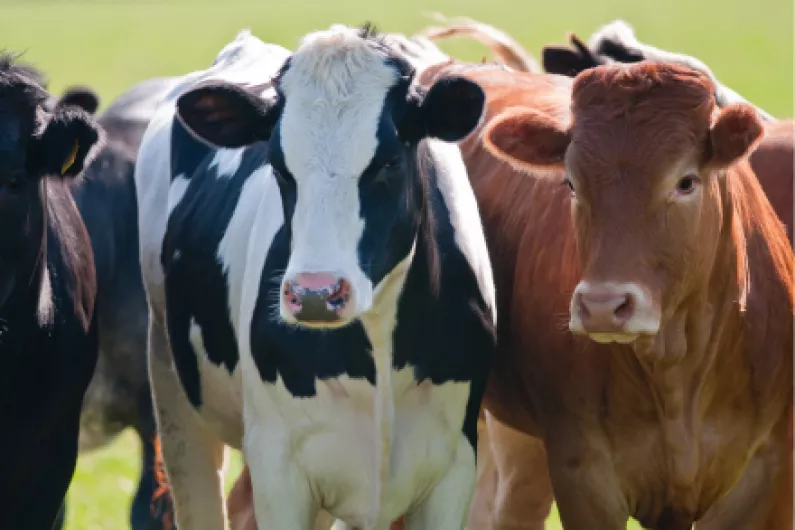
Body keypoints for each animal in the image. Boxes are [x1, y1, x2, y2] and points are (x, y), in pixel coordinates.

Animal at [137, 24, 498, 528]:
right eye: (278, 165)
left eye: (388, 162)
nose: (315, 293)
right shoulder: (278, 466)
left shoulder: (455, 466)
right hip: (172, 392)